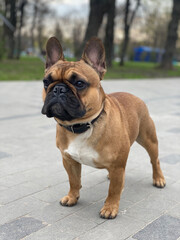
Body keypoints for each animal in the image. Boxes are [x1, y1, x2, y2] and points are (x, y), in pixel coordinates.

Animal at [41, 36, 165, 218]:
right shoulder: (69, 160)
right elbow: (74, 181)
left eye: (79, 83)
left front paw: (109, 208)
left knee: (154, 160)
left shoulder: (118, 166)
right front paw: (72, 197)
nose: (58, 89)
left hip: (149, 139)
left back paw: (159, 179)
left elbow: (113, 190)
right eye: (46, 82)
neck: (82, 125)